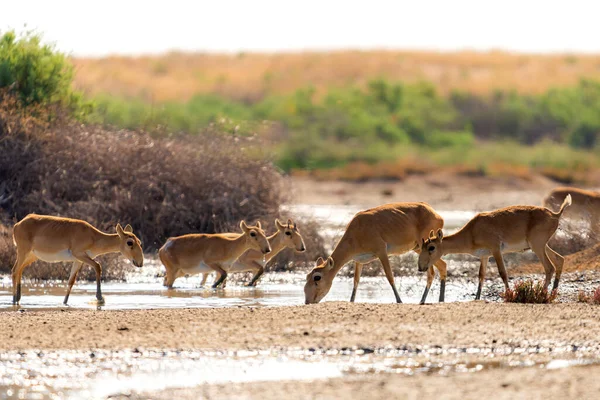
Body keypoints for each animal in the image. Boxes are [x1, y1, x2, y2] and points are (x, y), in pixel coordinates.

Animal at [11, 214, 144, 304]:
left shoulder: (78, 260)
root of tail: (17, 225)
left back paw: (18, 298)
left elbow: (71, 281)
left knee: (20, 270)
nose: (140, 262)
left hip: (32, 256)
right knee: (14, 271)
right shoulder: (79, 254)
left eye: (139, 241)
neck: (93, 237)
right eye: (130, 242)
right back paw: (14, 300)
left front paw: (64, 302)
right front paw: (100, 298)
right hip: (23, 252)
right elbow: (98, 266)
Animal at [302, 202, 448, 304]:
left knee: (431, 273)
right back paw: (438, 300)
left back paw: (423, 300)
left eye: (317, 277)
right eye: (307, 276)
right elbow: (356, 280)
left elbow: (390, 276)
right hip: (419, 249)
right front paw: (351, 301)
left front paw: (399, 301)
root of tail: (437, 215)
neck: (357, 229)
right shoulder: (358, 260)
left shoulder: (381, 252)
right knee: (442, 266)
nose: (307, 301)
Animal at [418, 194, 572, 300]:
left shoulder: (496, 250)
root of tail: (555, 214)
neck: (472, 232)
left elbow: (503, 273)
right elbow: (481, 275)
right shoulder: (484, 256)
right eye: (422, 246)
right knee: (559, 260)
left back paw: (542, 294)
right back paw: (552, 294)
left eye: (431, 247)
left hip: (538, 246)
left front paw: (509, 295)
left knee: (549, 267)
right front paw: (476, 298)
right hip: (541, 246)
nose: (421, 267)